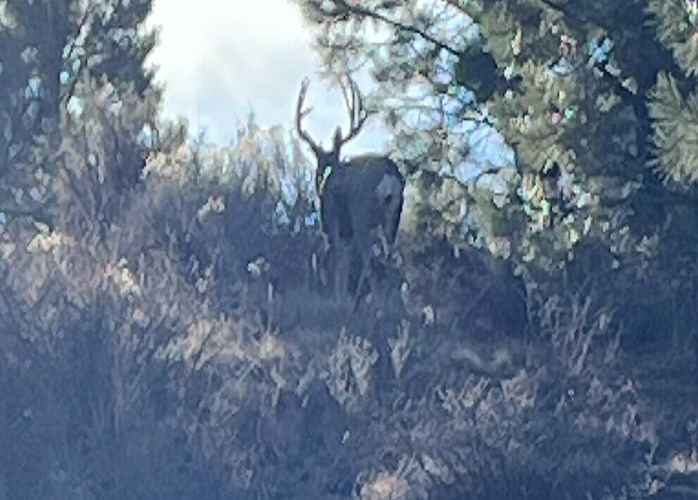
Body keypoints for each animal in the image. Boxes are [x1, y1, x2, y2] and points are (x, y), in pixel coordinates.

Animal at [292, 75, 402, 308]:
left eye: (323, 163)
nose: (318, 180)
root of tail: (390, 175)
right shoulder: (347, 231)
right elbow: (345, 262)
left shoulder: (334, 223)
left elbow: (337, 262)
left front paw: (338, 299)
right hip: (393, 216)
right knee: (389, 260)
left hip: (362, 214)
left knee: (369, 262)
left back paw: (370, 306)